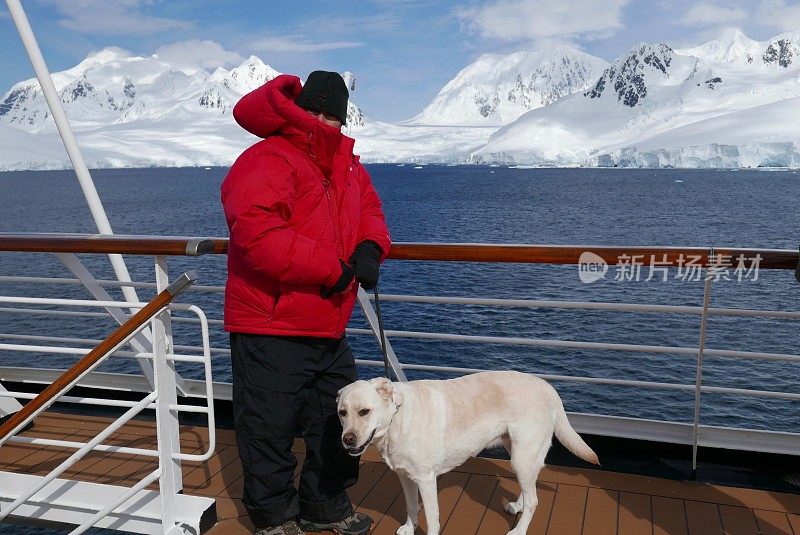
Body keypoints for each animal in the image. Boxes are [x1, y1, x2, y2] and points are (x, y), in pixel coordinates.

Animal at [334, 370, 596, 535]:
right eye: (342, 413)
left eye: (364, 411)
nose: (347, 440)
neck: (397, 418)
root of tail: (548, 387)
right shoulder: (404, 476)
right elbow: (410, 505)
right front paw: (409, 528)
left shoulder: (426, 480)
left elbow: (433, 519)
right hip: (519, 455)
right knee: (529, 487)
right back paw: (517, 507)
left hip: (522, 456)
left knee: (534, 500)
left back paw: (519, 530)